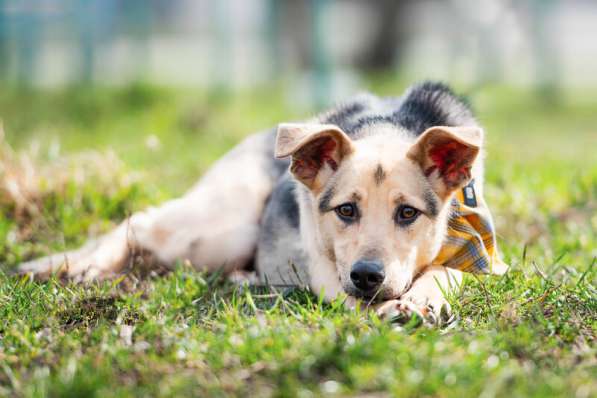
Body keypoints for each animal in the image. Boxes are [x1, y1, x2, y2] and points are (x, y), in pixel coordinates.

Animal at [18, 82, 506, 324]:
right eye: (346, 210)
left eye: (408, 213)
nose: (367, 275)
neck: (386, 128)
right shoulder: (325, 269)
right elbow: (351, 296)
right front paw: (391, 306)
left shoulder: (480, 252)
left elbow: (445, 271)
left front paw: (421, 298)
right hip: (224, 227)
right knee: (140, 221)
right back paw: (81, 268)